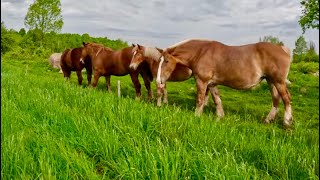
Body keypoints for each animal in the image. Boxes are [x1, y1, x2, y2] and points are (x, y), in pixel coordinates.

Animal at [156, 39, 294, 129]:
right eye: (159, 60)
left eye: (166, 61)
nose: (158, 80)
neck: (200, 53)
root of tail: (283, 49)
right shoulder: (212, 84)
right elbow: (217, 99)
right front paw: (220, 117)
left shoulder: (202, 81)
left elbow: (200, 100)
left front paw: (196, 116)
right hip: (271, 81)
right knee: (276, 100)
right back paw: (267, 120)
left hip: (278, 82)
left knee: (286, 99)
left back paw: (287, 122)